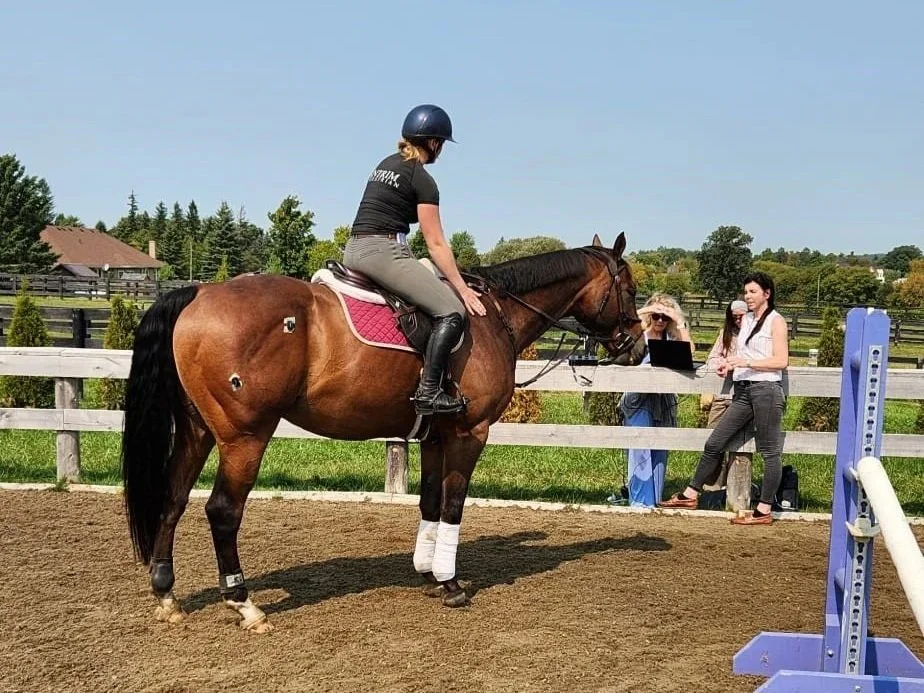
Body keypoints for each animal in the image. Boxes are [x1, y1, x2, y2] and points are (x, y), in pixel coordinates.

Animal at [120, 232, 642, 633]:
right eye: (631, 288)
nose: (636, 347)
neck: (490, 316)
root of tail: (199, 293)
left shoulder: (435, 436)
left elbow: (429, 501)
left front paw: (427, 571)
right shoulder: (470, 434)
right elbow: (453, 505)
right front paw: (451, 583)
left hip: (198, 431)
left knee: (173, 498)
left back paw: (166, 595)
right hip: (244, 437)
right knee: (223, 511)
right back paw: (244, 603)